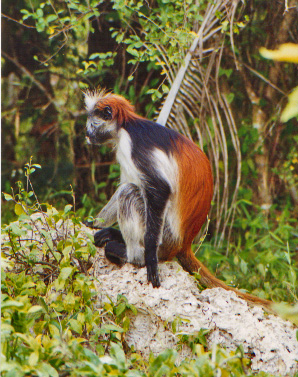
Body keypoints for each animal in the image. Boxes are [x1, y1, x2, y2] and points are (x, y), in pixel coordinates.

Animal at [84, 89, 272, 308]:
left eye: (92, 124)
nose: (87, 135)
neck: (126, 126)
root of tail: (184, 242)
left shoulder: (134, 145)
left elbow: (159, 189)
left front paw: (149, 258)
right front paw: (93, 223)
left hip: (166, 236)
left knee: (129, 192)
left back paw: (133, 255)